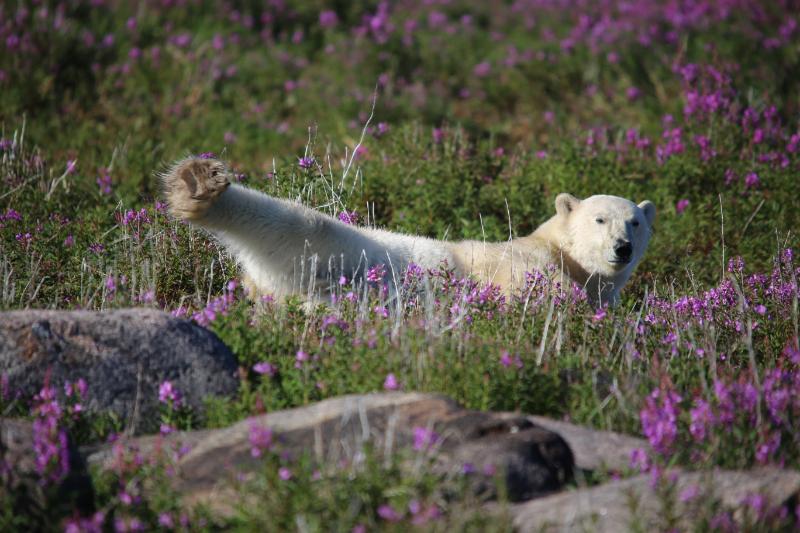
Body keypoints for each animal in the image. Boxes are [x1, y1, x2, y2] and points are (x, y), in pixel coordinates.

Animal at [161, 155, 656, 306]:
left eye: (634, 221)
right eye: (599, 219)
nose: (622, 248)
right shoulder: (517, 261)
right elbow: (536, 286)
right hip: (337, 244)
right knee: (299, 220)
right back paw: (198, 185)